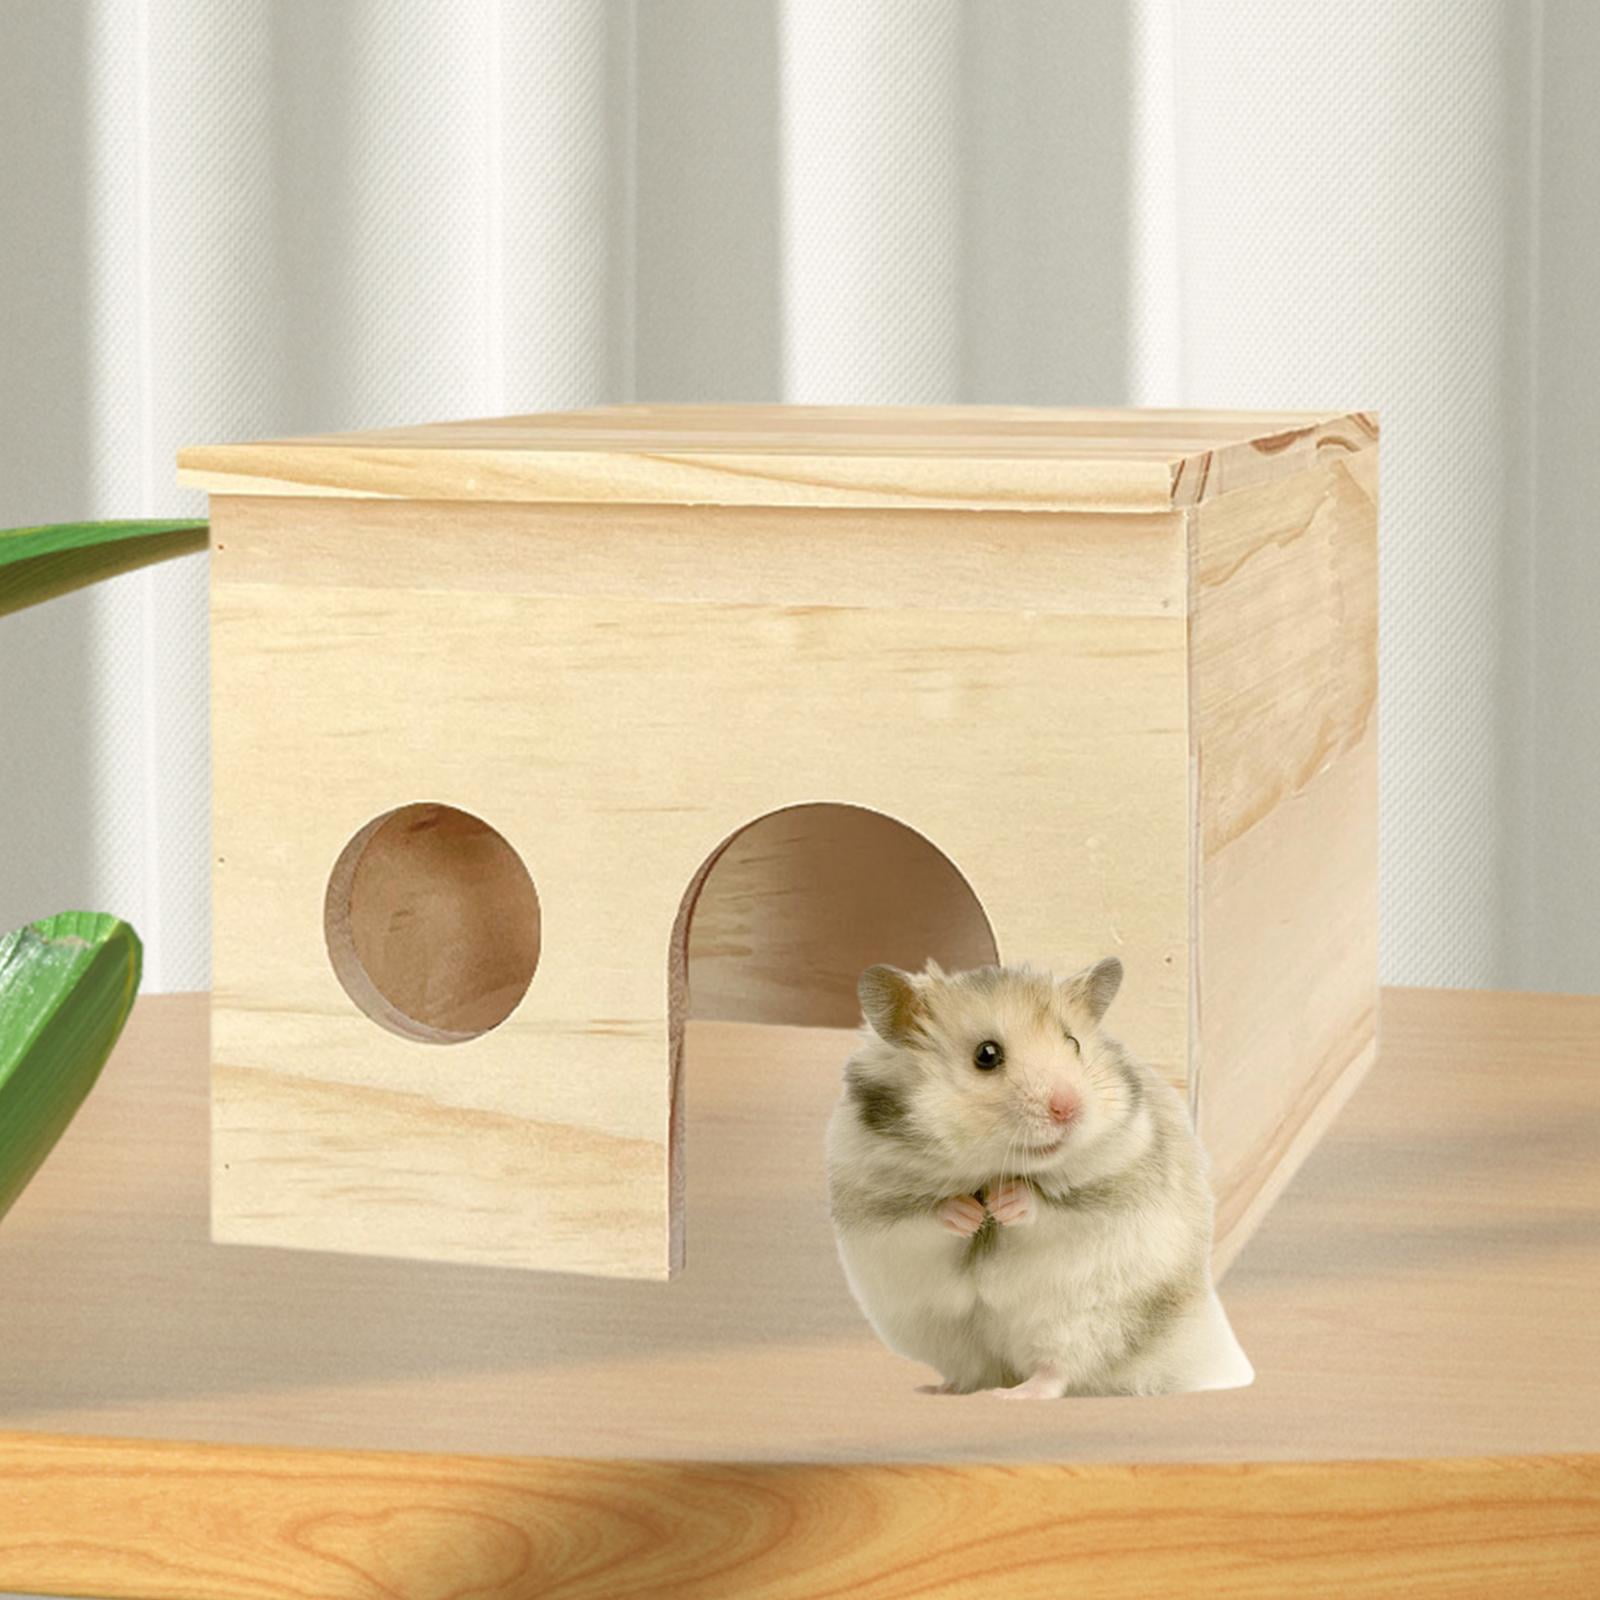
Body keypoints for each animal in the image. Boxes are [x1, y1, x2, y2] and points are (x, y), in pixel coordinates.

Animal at [825, 956, 1253, 1397]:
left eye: (1074, 1043)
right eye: (987, 1054)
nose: (1069, 1108)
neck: (991, 1169)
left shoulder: (1110, 1192)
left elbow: (1048, 1209)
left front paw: (1003, 1204)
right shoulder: (876, 1207)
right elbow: (926, 1217)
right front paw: (969, 1214)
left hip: (1084, 1322)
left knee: (1057, 1371)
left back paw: (1013, 1395)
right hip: (944, 1335)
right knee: (975, 1370)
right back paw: (943, 1388)